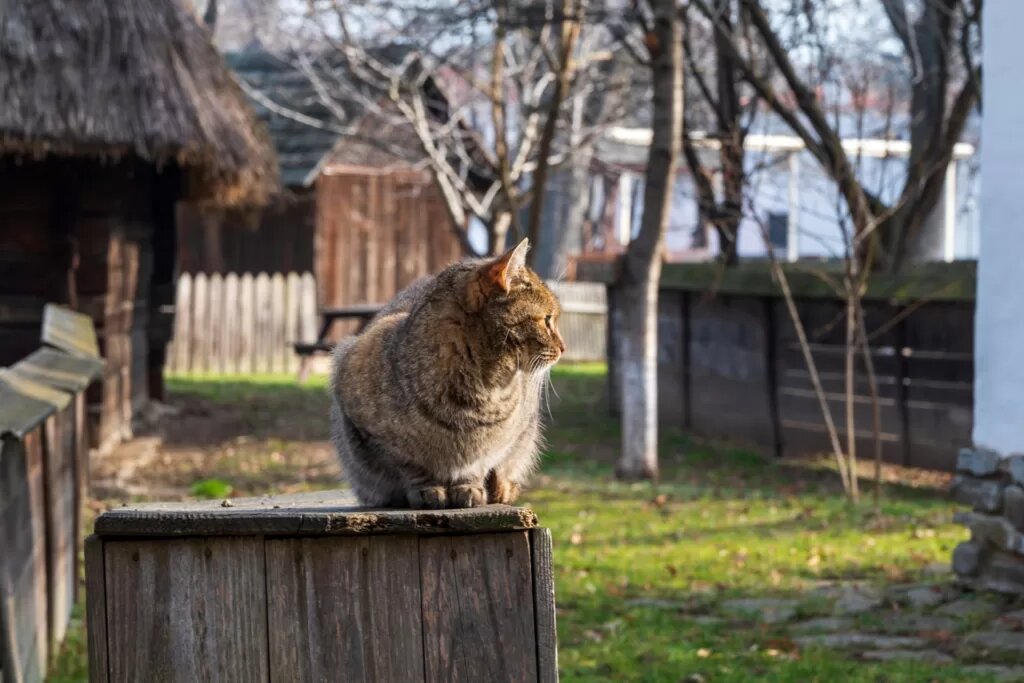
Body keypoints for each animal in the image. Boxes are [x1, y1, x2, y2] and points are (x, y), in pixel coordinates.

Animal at [327, 239, 565, 507]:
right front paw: (428, 489)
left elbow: (480, 463)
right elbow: (411, 465)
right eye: (547, 319)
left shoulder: (499, 443)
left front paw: (469, 487)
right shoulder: (369, 428)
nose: (563, 347)